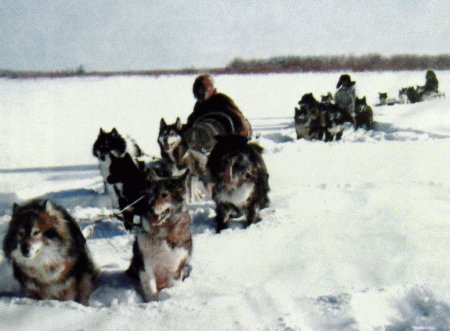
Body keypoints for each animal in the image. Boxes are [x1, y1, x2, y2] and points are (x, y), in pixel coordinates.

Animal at [125, 171, 191, 304]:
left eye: (164, 195)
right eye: (149, 195)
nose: (149, 207)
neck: (161, 236)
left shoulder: (175, 270)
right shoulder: (146, 269)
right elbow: (151, 291)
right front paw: (152, 304)